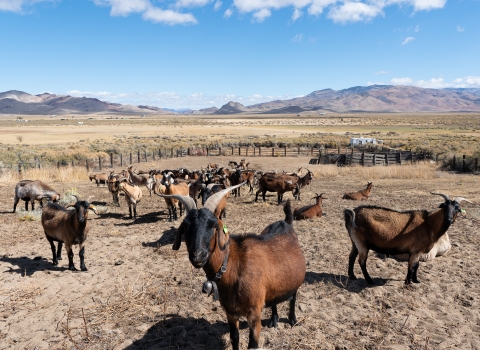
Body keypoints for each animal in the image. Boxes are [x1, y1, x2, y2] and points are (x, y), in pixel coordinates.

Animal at [159, 183, 306, 350]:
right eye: (186, 227)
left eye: (213, 226)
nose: (198, 255)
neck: (234, 267)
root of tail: (286, 223)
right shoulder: (230, 312)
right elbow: (234, 338)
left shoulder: (254, 313)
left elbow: (253, 344)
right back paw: (274, 321)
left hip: (294, 281)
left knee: (293, 296)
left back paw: (293, 320)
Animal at [344, 193, 472, 286]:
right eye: (444, 206)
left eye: (457, 208)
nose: (448, 219)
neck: (428, 224)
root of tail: (352, 213)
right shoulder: (415, 251)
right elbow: (411, 267)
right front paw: (407, 283)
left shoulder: (418, 251)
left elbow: (417, 266)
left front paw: (416, 280)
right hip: (362, 243)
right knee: (362, 261)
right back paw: (370, 281)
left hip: (355, 242)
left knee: (352, 256)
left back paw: (352, 276)